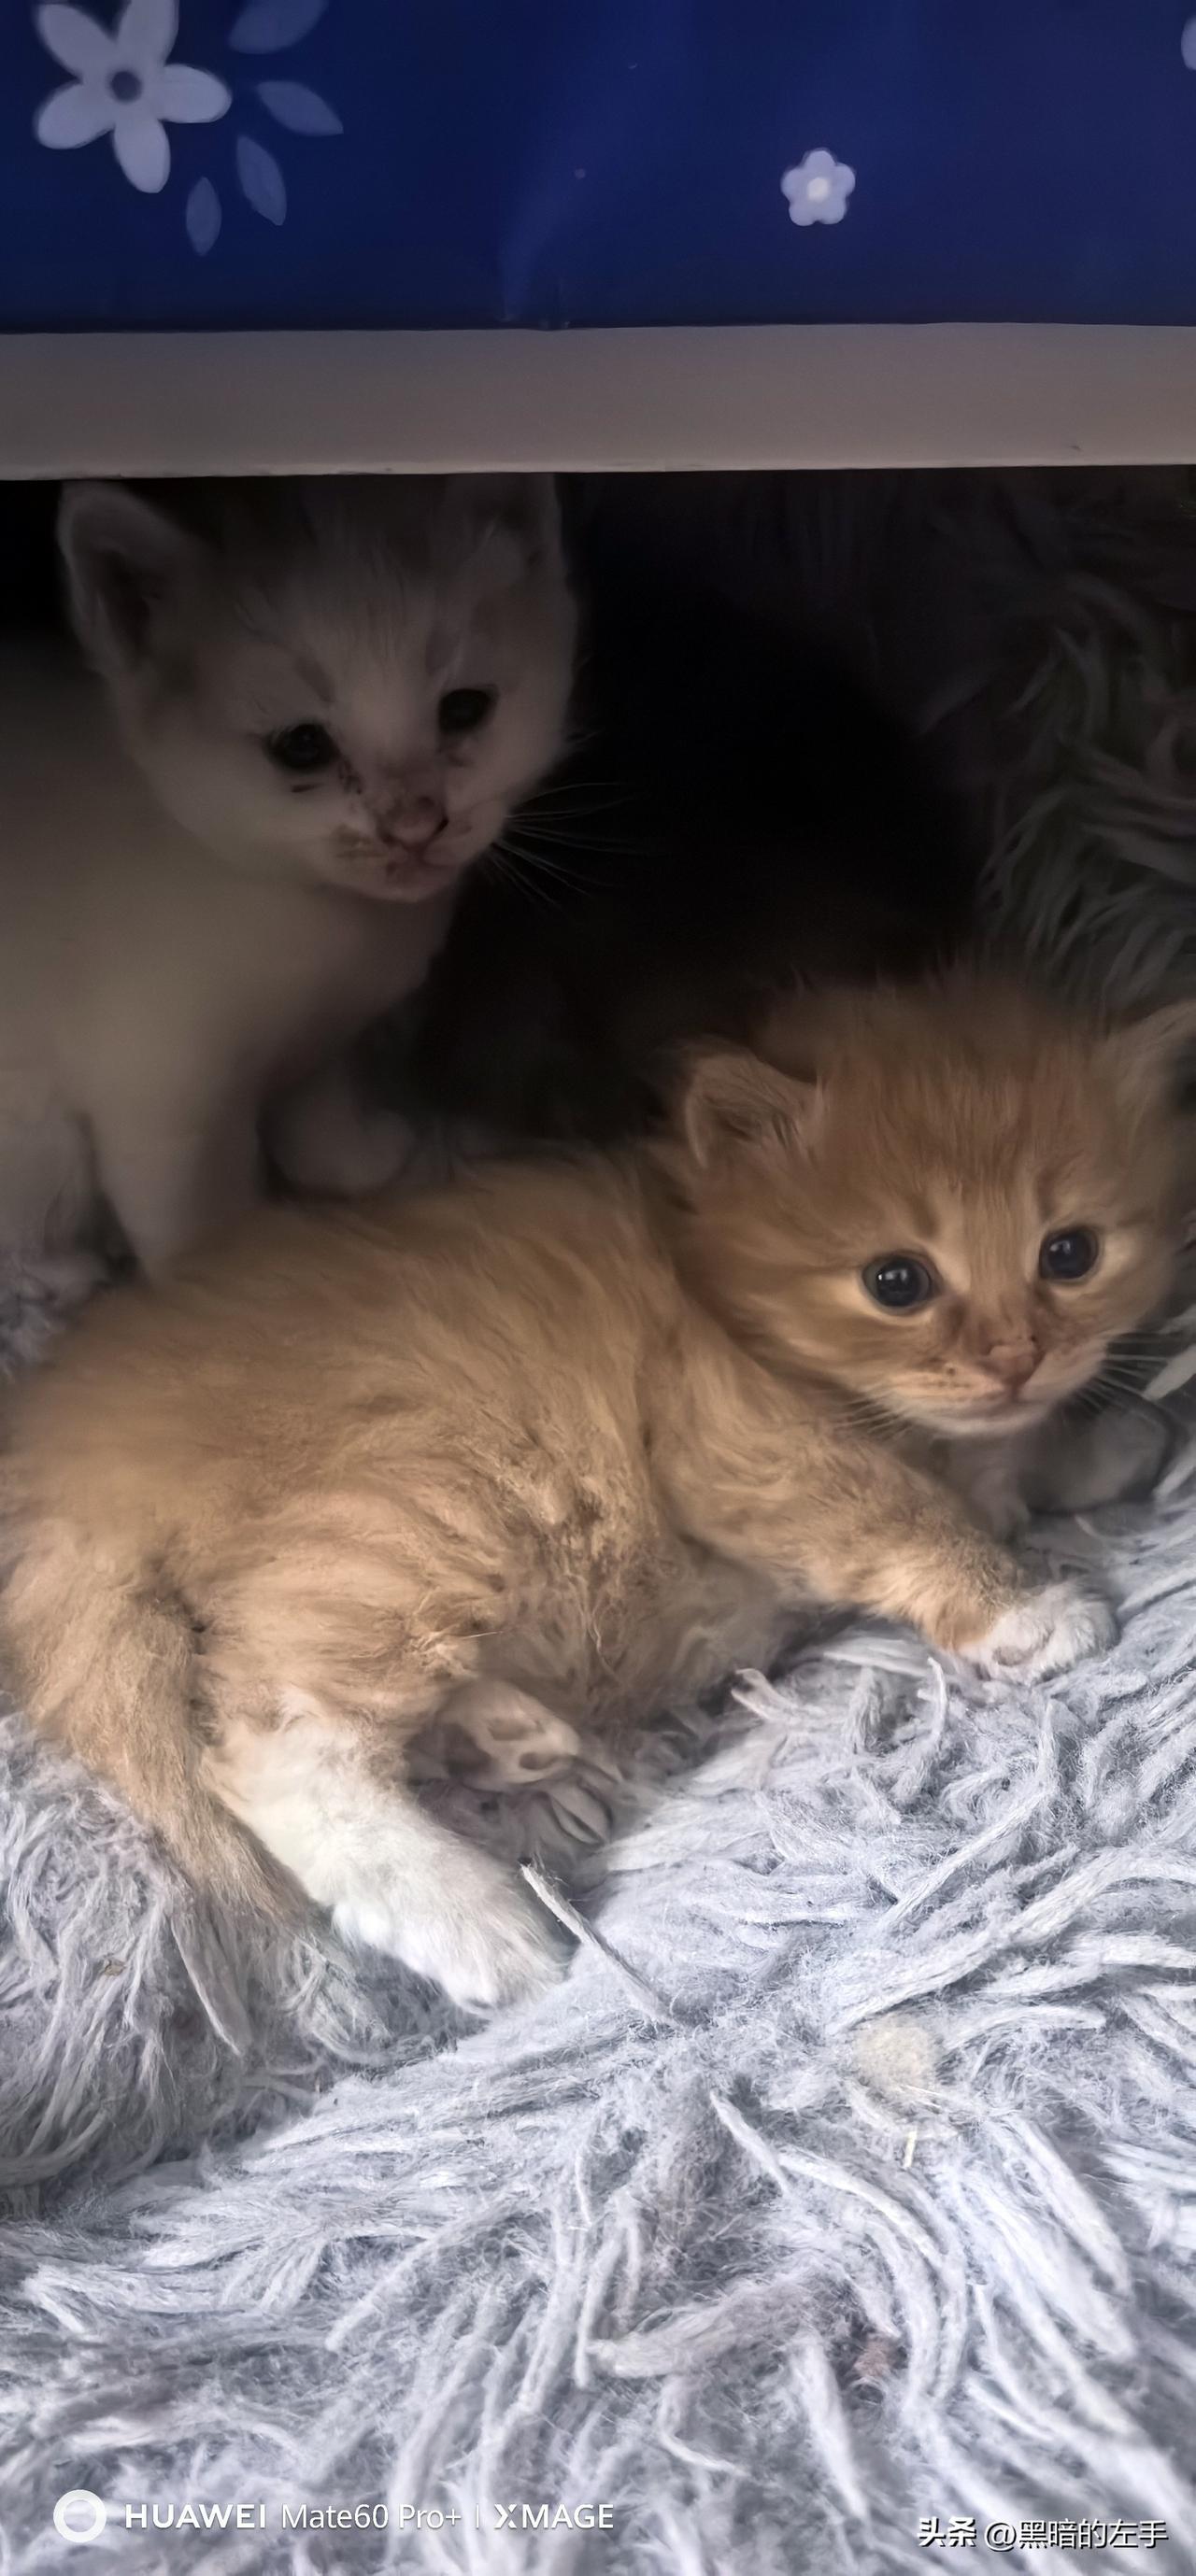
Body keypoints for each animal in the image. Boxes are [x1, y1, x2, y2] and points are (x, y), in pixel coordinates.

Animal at [0, 472, 574, 1282]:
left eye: (465, 708)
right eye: (301, 745)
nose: (414, 825)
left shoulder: (322, 1038)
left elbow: (319, 1105)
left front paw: (359, 1160)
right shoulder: (164, 1104)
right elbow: (204, 1220)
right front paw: (236, 1280)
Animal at [2, 973, 1189, 2010]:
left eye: (1068, 1253)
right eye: (895, 1281)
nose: (1011, 1358)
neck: (715, 1297)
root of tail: (69, 1441)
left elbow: (1011, 1464)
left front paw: (1098, 1444)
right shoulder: (740, 1445)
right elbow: (904, 1512)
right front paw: (1024, 1607)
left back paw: (503, 1739)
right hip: (433, 1510)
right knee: (275, 1743)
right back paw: (476, 1923)